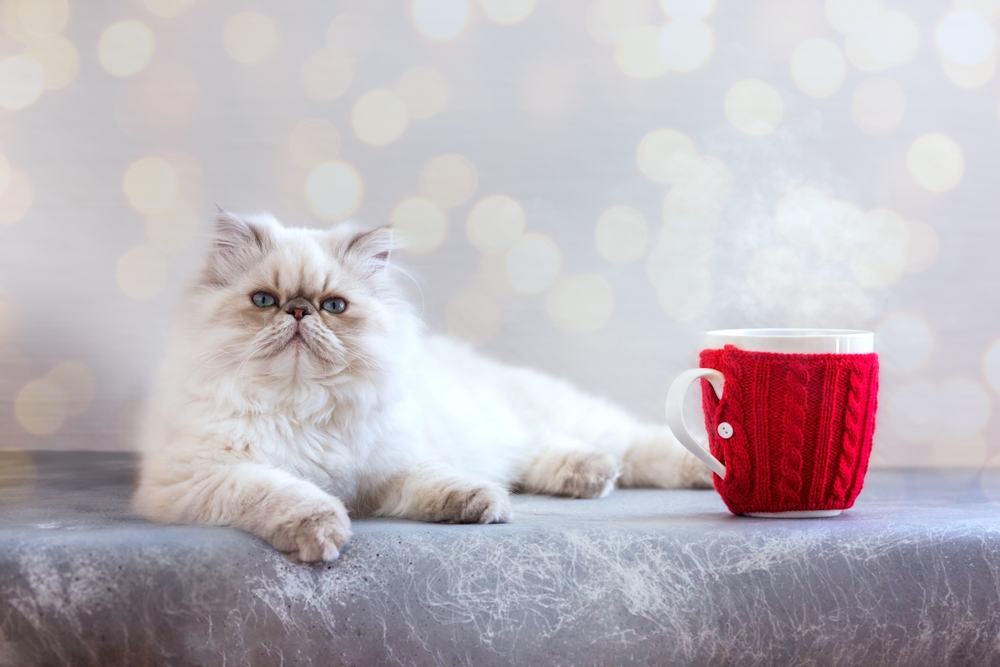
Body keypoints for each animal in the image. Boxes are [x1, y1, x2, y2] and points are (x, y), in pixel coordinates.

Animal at [133, 214, 712, 564]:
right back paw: (589, 476)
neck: (301, 403)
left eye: (333, 306)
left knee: (640, 445)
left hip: (565, 417)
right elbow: (288, 493)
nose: (298, 311)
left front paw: (485, 504)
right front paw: (322, 534)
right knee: (547, 457)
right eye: (264, 301)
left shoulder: (390, 467)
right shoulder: (207, 477)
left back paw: (705, 471)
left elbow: (438, 480)